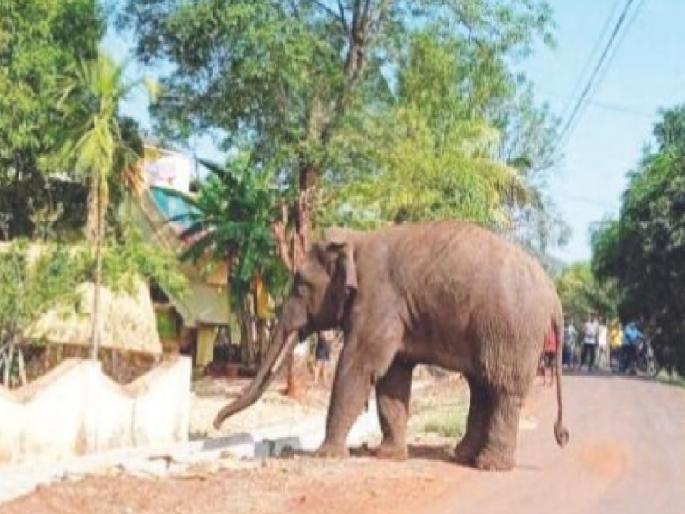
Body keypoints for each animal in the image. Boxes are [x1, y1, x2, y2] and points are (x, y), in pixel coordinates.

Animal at [214, 220, 569, 471]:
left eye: (300, 284)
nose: (215, 425)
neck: (354, 240)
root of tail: (554, 297)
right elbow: (392, 380)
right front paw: (388, 456)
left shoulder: (379, 300)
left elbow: (358, 367)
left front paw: (325, 456)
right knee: (483, 386)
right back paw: (462, 456)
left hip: (511, 330)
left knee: (502, 388)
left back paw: (489, 465)